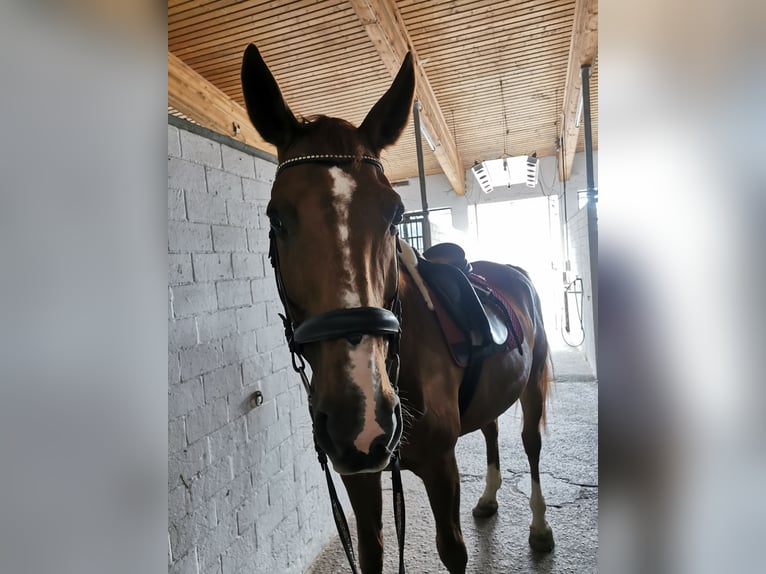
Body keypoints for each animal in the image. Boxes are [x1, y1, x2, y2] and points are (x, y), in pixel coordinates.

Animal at [240, 42, 552, 572]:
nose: (361, 421)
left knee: (531, 446)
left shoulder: (441, 467)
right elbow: (371, 553)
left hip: (532, 387)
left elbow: (453, 551)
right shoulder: (359, 476)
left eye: (395, 215)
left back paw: (539, 527)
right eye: (276, 217)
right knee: (491, 427)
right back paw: (489, 498)